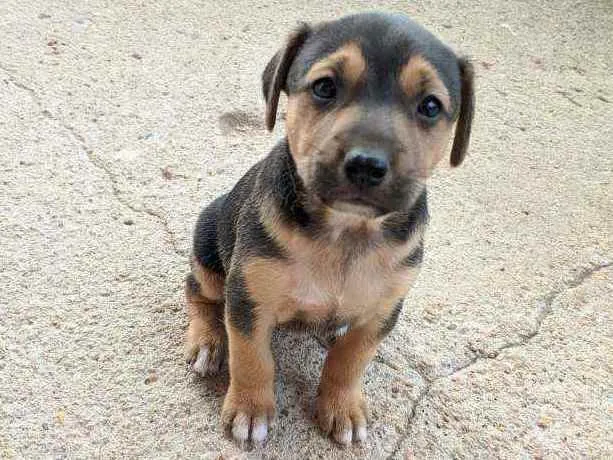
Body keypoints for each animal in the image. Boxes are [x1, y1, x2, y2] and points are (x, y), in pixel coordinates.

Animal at [184, 11, 476, 446]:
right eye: (324, 87)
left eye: (429, 106)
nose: (366, 165)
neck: (346, 230)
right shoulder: (248, 296)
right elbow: (252, 356)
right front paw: (251, 409)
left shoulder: (382, 311)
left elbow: (350, 359)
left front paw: (341, 407)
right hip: (207, 243)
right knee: (197, 292)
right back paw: (207, 341)